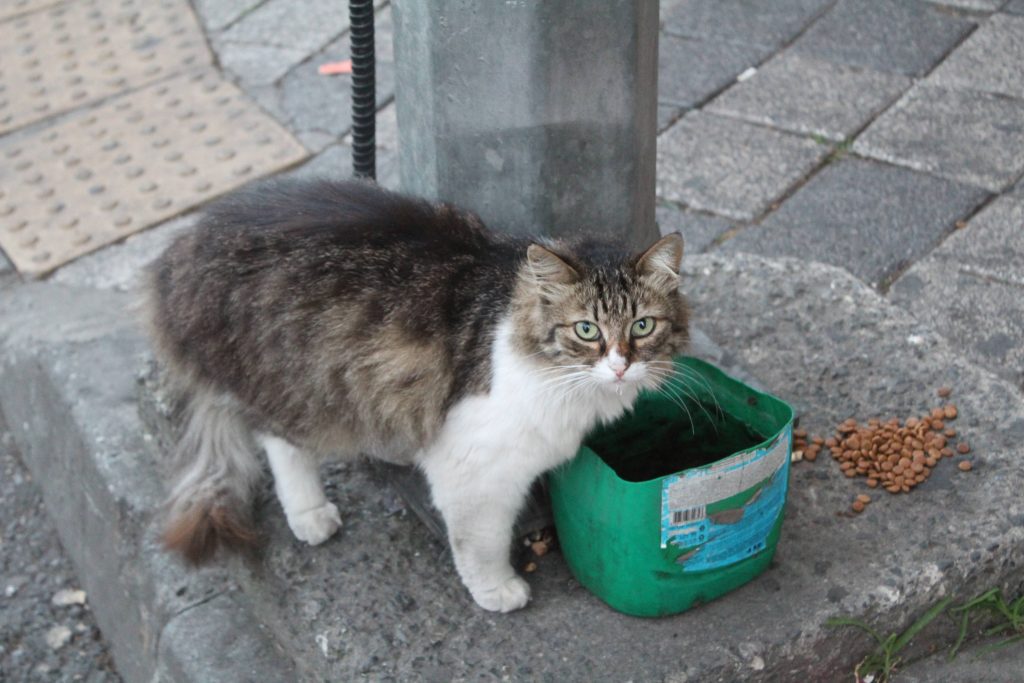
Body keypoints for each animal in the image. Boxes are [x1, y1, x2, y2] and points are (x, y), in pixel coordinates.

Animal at [146, 178, 688, 614]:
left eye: (642, 326)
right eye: (586, 330)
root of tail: (183, 250)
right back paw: (310, 514)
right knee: (278, 442)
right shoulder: (475, 469)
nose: (620, 365)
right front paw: (496, 590)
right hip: (300, 387)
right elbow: (481, 541)